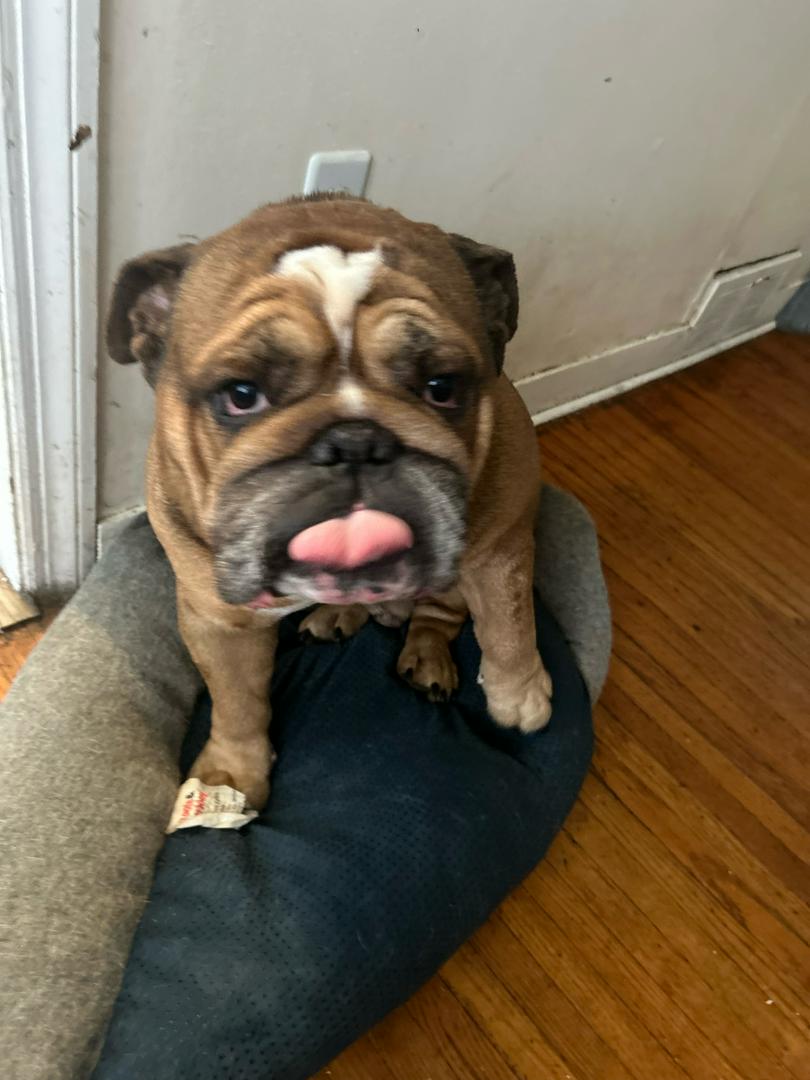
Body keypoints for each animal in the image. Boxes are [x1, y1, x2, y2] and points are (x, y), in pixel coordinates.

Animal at [107, 195, 552, 809]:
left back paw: (426, 654)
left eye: (442, 387)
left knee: (441, 614)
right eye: (241, 395)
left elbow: (510, 621)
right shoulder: (218, 619)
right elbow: (237, 701)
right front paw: (231, 775)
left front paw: (521, 695)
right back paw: (340, 614)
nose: (355, 441)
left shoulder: (501, 547)